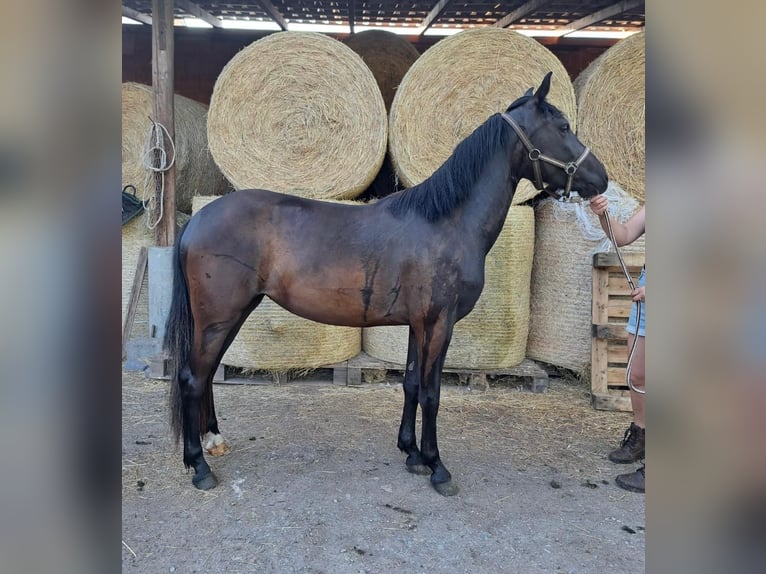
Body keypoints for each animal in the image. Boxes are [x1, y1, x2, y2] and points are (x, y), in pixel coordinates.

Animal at [165, 73, 608, 496]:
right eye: (563, 127)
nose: (601, 179)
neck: (445, 221)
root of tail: (198, 220)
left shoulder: (418, 324)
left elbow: (411, 383)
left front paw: (411, 453)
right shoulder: (439, 324)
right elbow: (431, 392)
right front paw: (437, 466)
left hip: (233, 314)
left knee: (206, 374)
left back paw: (214, 441)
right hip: (220, 317)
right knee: (192, 377)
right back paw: (199, 467)